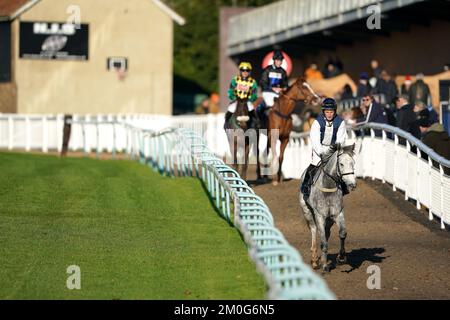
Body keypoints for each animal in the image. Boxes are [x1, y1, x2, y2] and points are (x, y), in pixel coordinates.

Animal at [300, 144, 356, 272]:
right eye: (341, 164)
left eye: (353, 163)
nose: (352, 184)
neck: (328, 187)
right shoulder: (320, 216)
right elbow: (323, 241)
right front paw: (325, 265)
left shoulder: (338, 213)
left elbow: (342, 233)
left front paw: (341, 258)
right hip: (307, 212)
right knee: (314, 230)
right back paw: (315, 260)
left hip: (329, 220)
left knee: (326, 232)